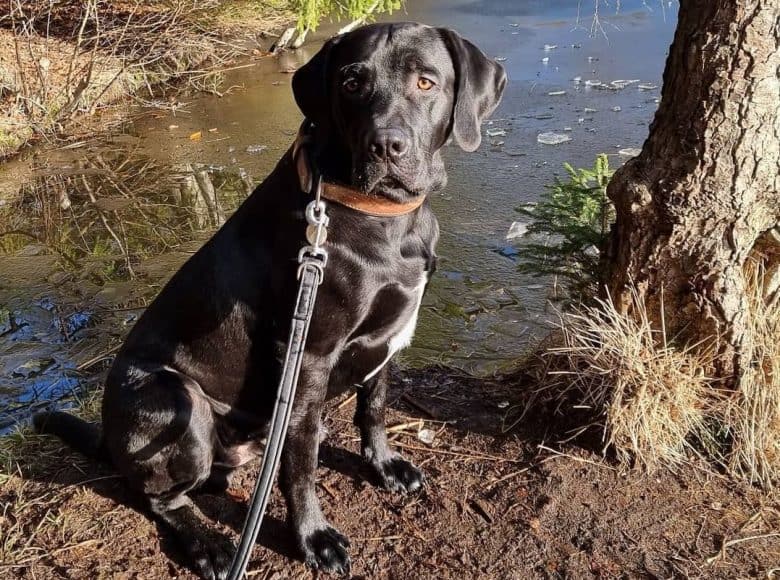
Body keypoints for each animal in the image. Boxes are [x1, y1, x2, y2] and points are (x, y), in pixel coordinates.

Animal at [33, 22, 506, 580]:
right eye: (351, 82)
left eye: (426, 82)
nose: (386, 145)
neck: (381, 216)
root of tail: (109, 434)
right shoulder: (309, 354)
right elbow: (300, 464)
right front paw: (313, 538)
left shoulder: (388, 337)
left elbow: (374, 408)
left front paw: (385, 465)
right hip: (176, 400)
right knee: (159, 496)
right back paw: (210, 545)